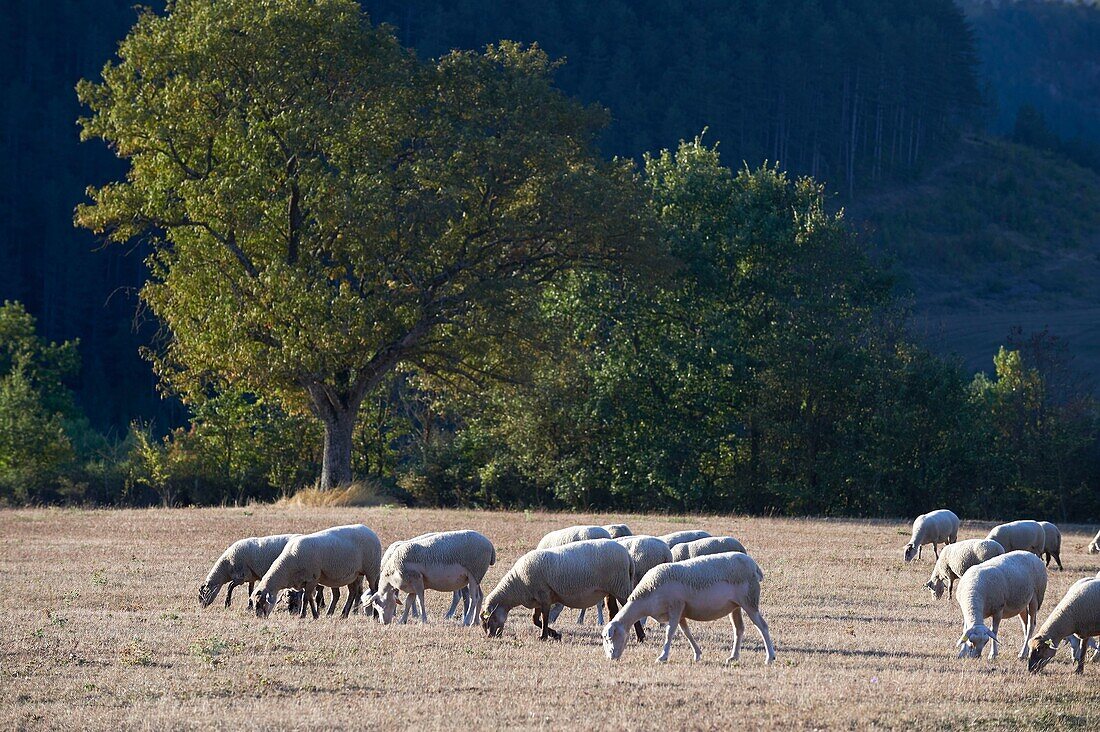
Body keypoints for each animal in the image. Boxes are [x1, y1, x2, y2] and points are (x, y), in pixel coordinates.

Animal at [251, 521, 380, 620]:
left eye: (261, 602)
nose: (259, 618)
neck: (287, 568)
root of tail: (369, 530)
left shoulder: (312, 578)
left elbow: (306, 598)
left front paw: (303, 615)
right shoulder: (305, 581)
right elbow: (309, 598)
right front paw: (315, 615)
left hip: (372, 570)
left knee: (374, 591)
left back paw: (375, 615)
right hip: (354, 574)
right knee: (352, 593)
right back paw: (343, 614)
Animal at [363, 528, 497, 625]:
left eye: (377, 605)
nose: (383, 623)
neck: (391, 572)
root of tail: (490, 544)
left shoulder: (417, 580)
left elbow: (420, 600)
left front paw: (423, 620)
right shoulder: (411, 585)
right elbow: (408, 602)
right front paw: (403, 620)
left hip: (474, 573)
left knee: (474, 598)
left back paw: (467, 621)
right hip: (476, 575)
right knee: (480, 596)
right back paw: (475, 621)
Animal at [484, 537, 638, 638]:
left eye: (489, 620)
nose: (490, 636)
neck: (517, 584)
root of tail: (628, 556)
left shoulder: (544, 595)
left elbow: (544, 617)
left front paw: (544, 636)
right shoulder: (538, 598)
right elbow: (535, 620)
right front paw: (554, 634)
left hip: (620, 587)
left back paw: (639, 637)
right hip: (612, 589)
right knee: (614, 610)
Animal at [602, 550, 774, 664]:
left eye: (610, 638)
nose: (611, 658)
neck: (647, 596)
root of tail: (754, 565)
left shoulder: (676, 607)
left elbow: (669, 633)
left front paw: (662, 657)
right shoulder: (681, 612)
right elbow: (687, 633)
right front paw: (697, 654)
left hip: (749, 600)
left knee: (762, 626)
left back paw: (770, 657)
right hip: (735, 606)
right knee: (739, 629)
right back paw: (733, 657)